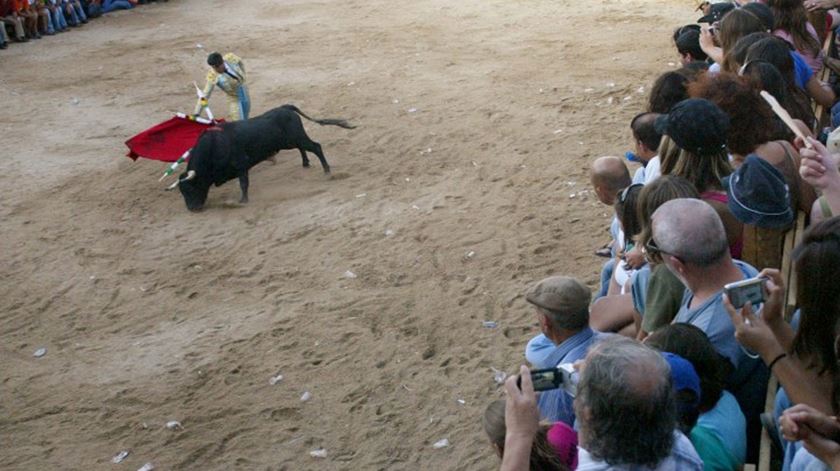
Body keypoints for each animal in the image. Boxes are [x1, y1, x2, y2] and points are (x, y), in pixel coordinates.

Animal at [176, 107, 352, 212]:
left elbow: (243, 183)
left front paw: (243, 201)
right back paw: (306, 164)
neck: (214, 146)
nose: (192, 208)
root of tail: (285, 107)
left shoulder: (241, 165)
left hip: (298, 138)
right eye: (182, 191)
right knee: (303, 148)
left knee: (316, 147)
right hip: (291, 141)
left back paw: (327, 171)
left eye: (190, 188)